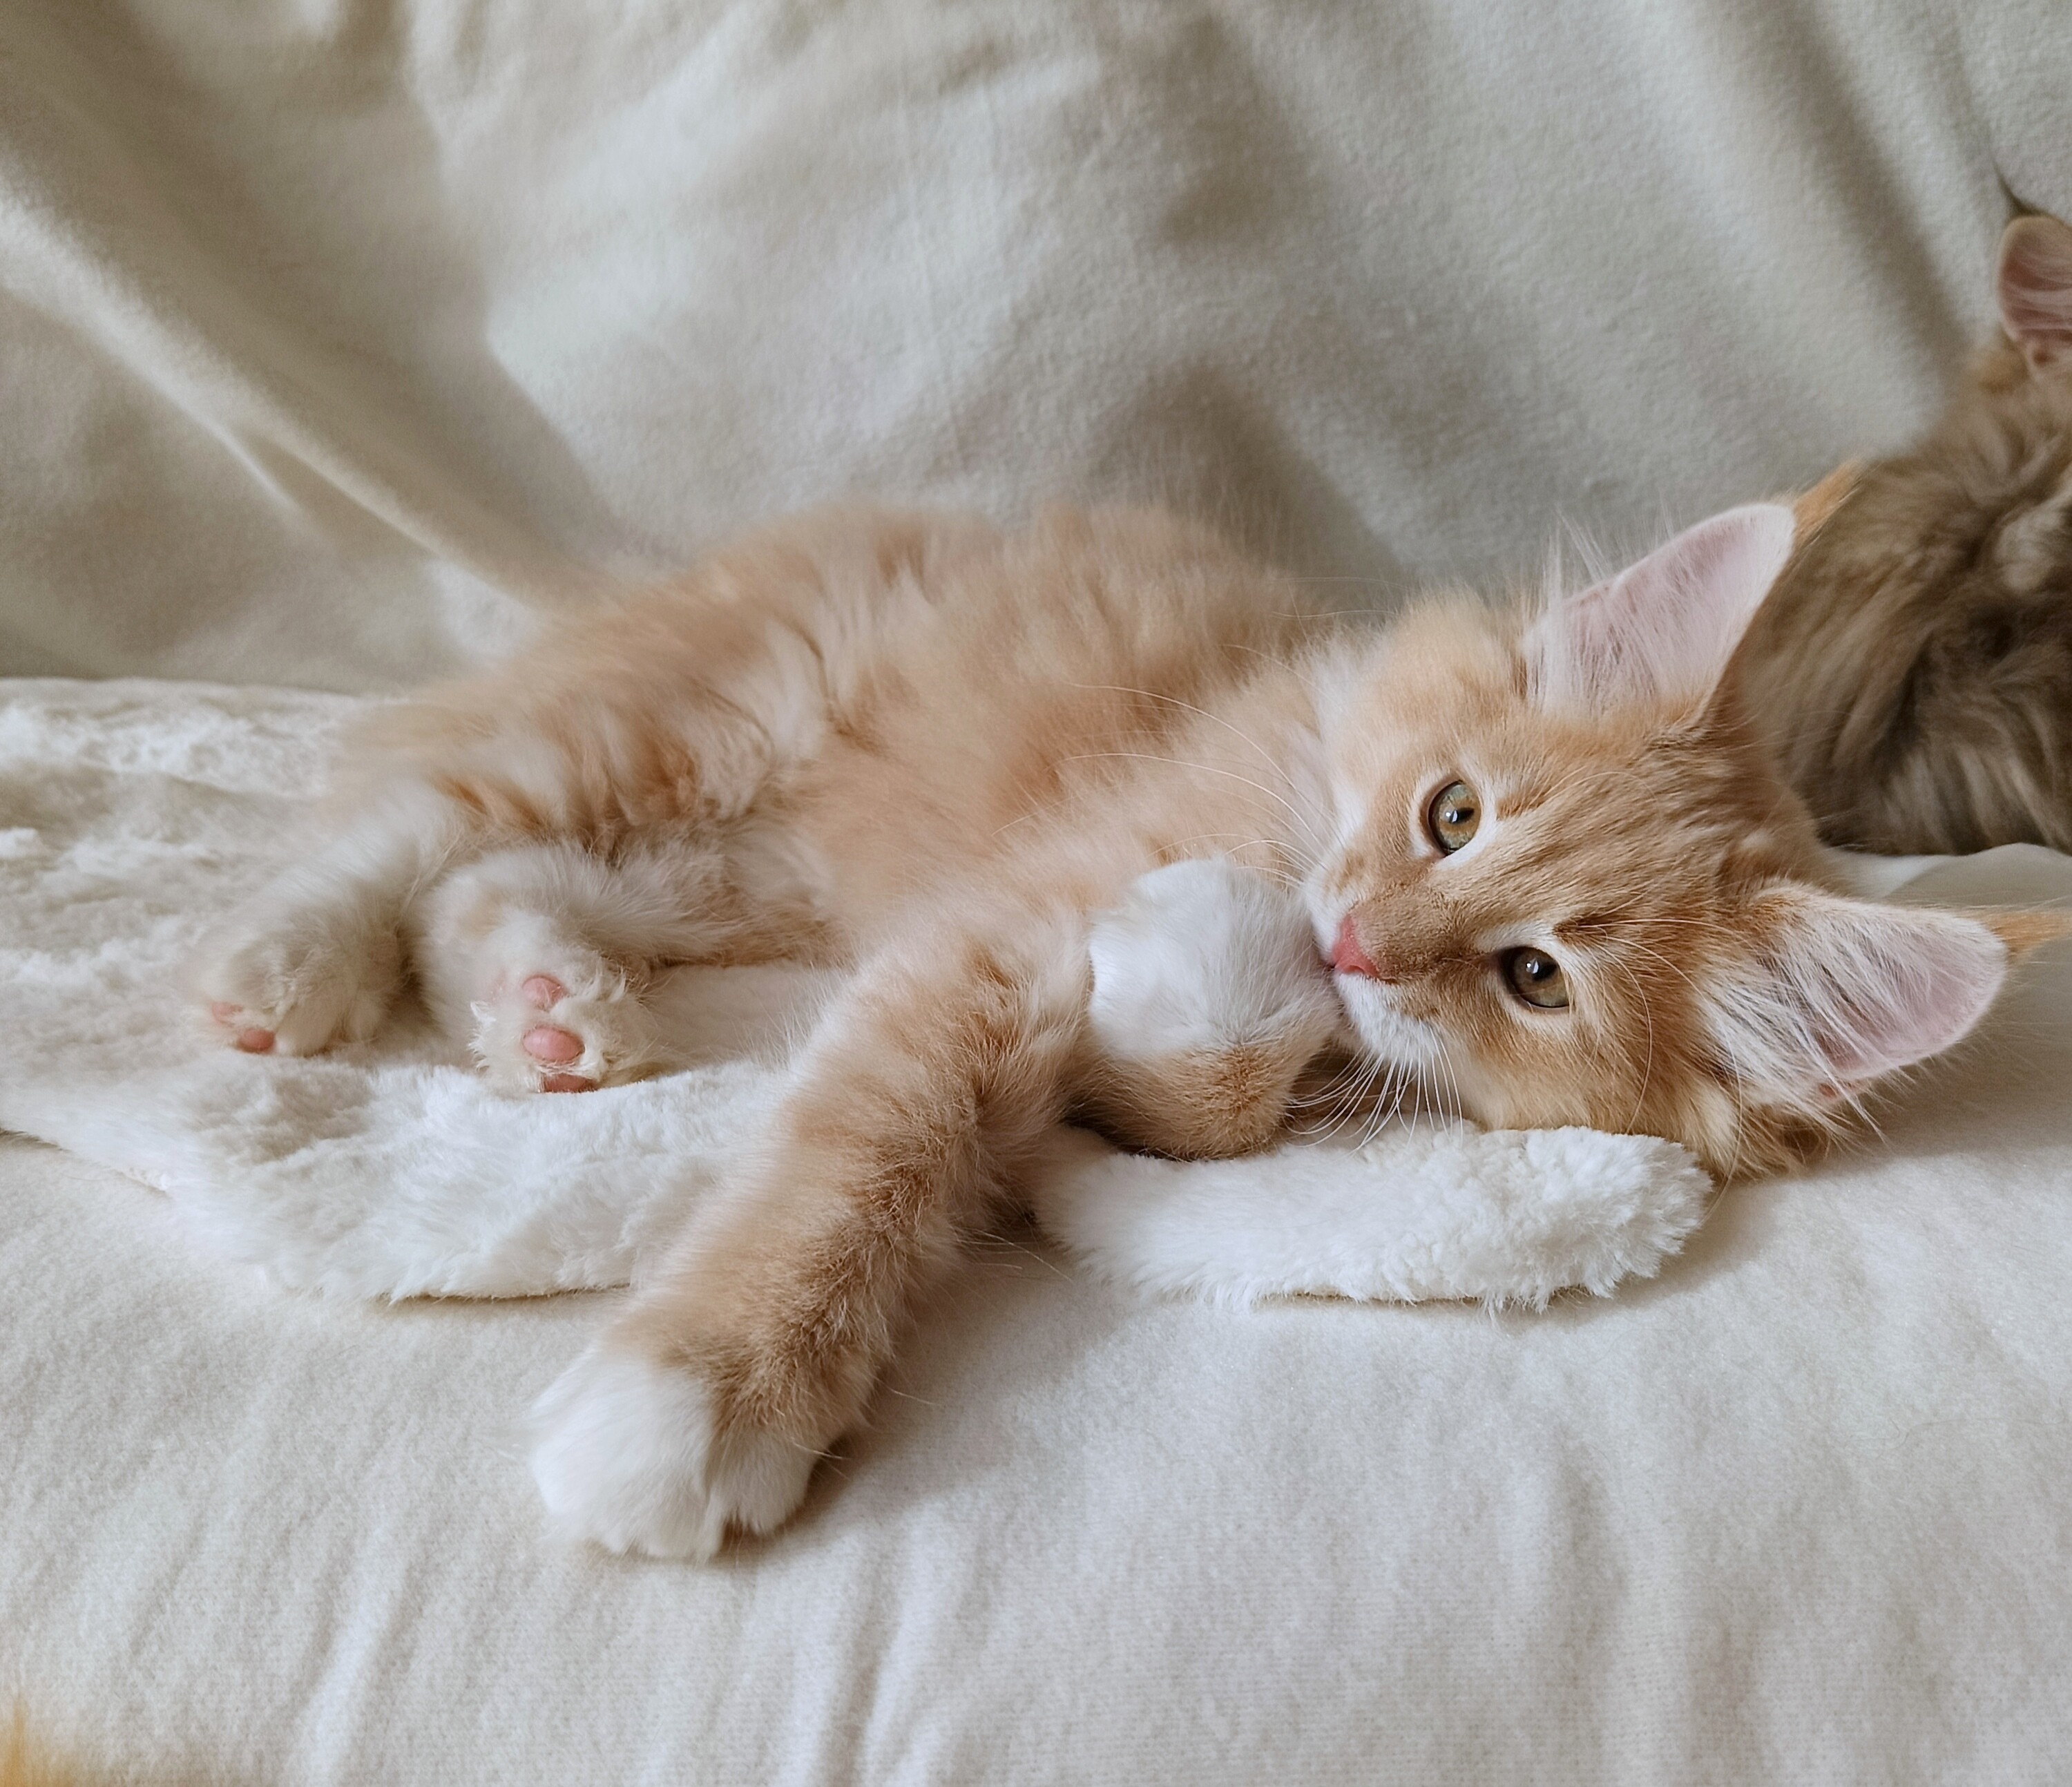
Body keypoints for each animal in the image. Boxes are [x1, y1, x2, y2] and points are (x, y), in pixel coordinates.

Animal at [191, 500, 2062, 1557]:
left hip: (754, 871)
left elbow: (1199, 1093)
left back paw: (545, 1012)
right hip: (692, 728)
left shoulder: (1025, 985)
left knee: (499, 875)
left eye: (1534, 976)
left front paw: (1233, 973)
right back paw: (285, 964)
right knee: (414, 819)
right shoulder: (993, 935)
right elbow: (861, 1149)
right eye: (1453, 812)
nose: (1360, 934)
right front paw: (695, 1398)